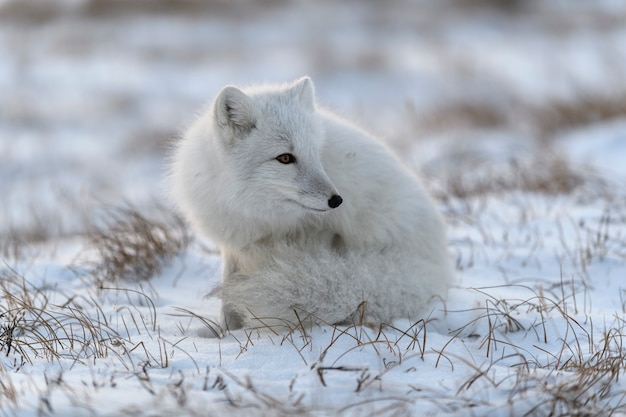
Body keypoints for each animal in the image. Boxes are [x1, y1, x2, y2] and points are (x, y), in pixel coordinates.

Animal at [168, 76, 450, 330]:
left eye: (316, 153)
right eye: (285, 158)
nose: (337, 200)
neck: (252, 209)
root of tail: (436, 267)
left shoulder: (324, 233)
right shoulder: (233, 242)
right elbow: (227, 298)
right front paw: (226, 334)